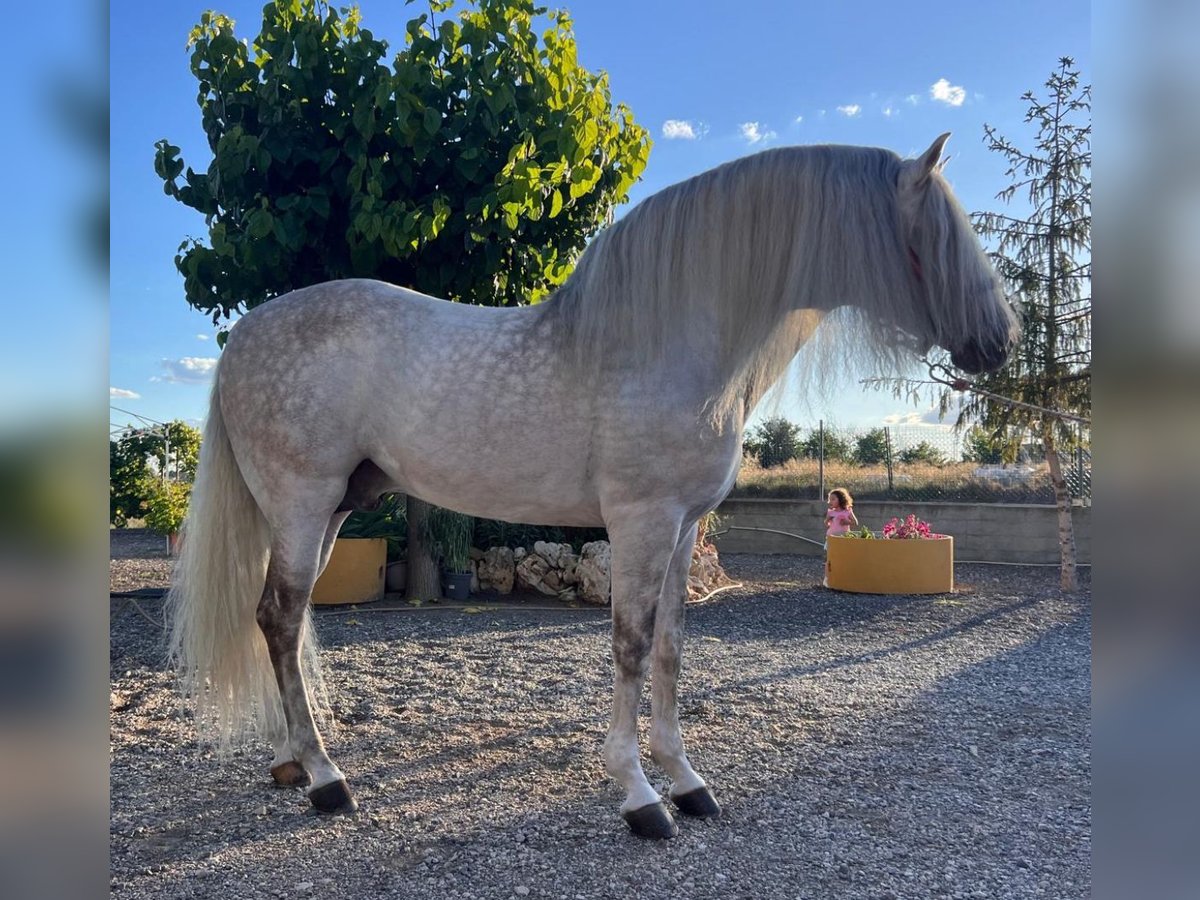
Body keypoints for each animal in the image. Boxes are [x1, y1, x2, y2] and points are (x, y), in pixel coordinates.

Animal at [166, 133, 1012, 840]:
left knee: (276, 619)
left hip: (329, 508)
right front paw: (639, 795)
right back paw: (326, 778)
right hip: (303, 503)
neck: (673, 341)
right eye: (937, 236)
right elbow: (630, 646)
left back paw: (291, 762)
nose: (1000, 343)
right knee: (281, 616)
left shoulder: (682, 528)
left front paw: (687, 781)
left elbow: (670, 648)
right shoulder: (640, 522)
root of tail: (244, 335)